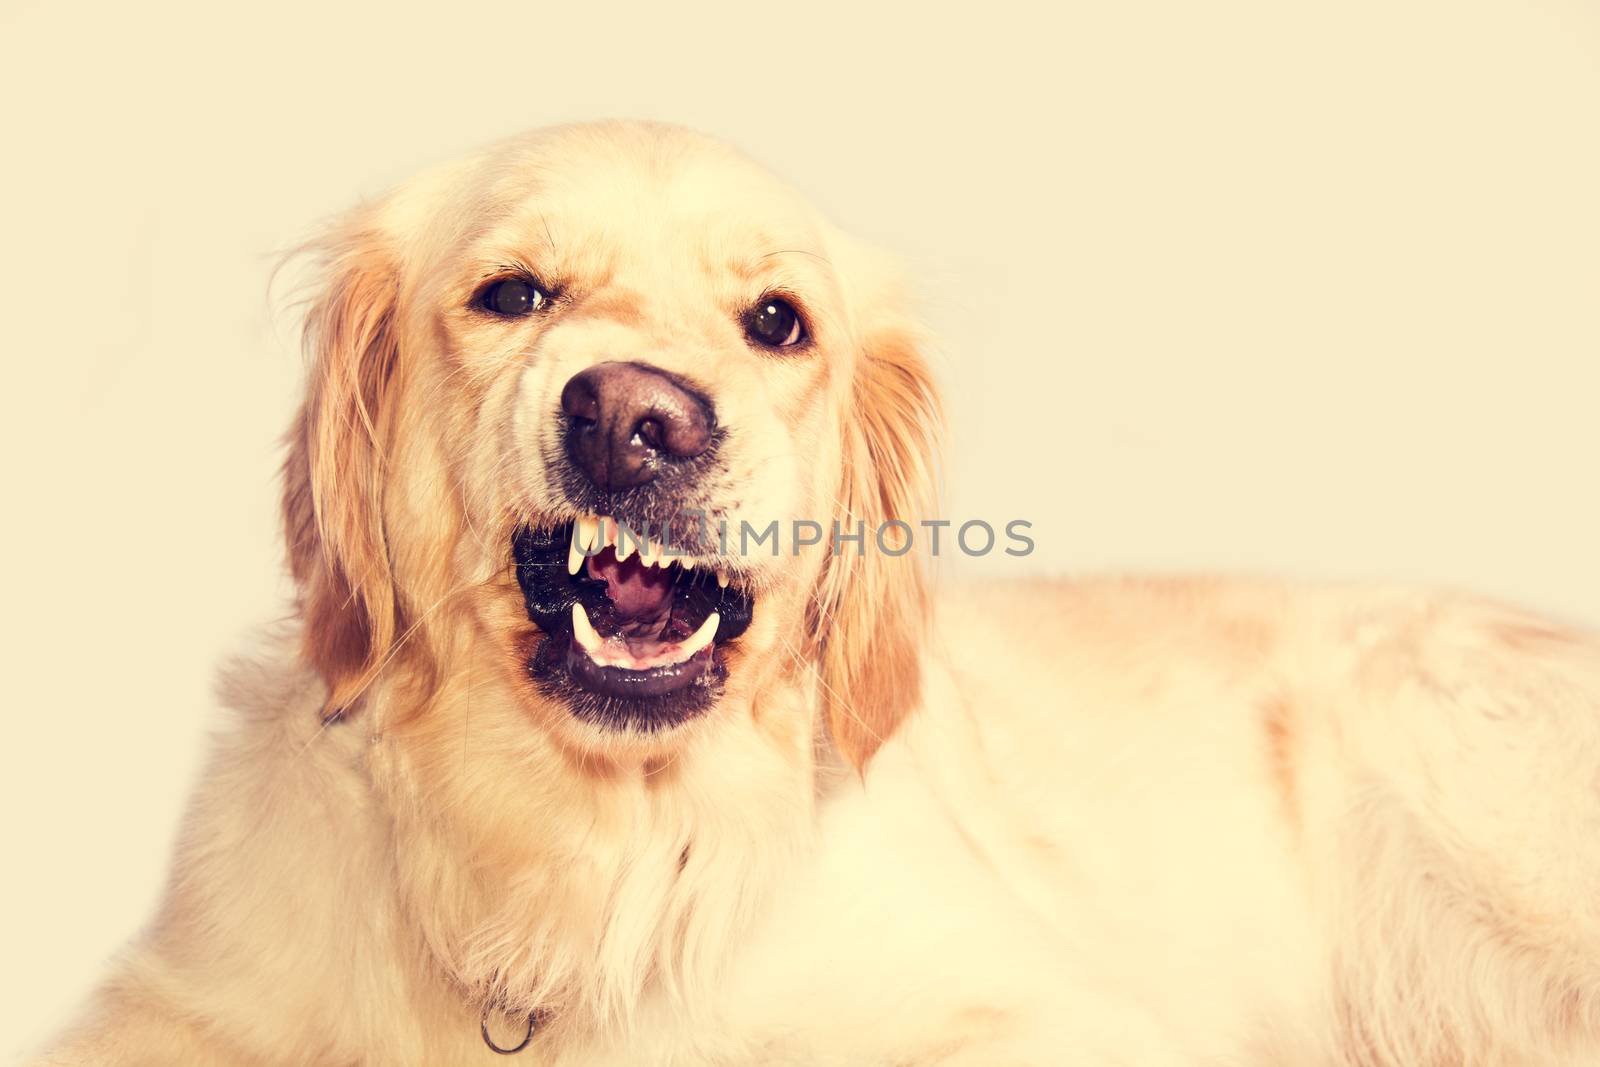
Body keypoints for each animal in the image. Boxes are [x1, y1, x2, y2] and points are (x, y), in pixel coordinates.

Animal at [31, 120, 1600, 1062]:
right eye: (513, 294)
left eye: (776, 321)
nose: (638, 419)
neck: (571, 866)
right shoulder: (176, 1000)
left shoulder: (1047, 1012)